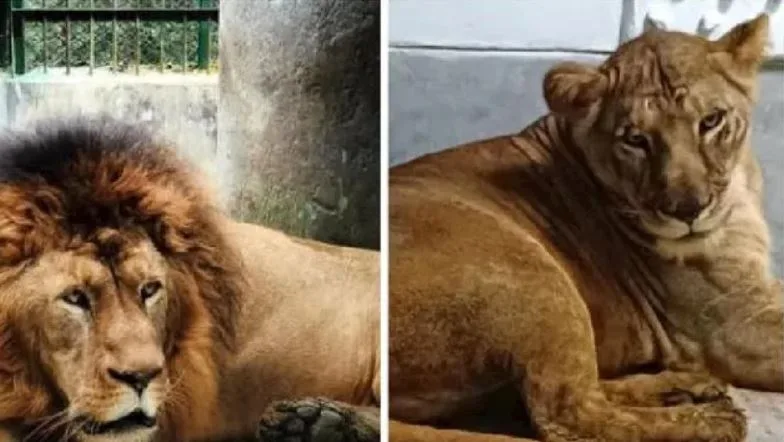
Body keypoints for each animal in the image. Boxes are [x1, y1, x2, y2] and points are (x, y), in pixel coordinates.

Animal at [389, 14, 783, 442]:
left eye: (711, 121)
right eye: (635, 140)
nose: (688, 209)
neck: (739, 197)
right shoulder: (732, 325)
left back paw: (685, 387)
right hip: (535, 279)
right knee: (570, 414)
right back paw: (712, 419)